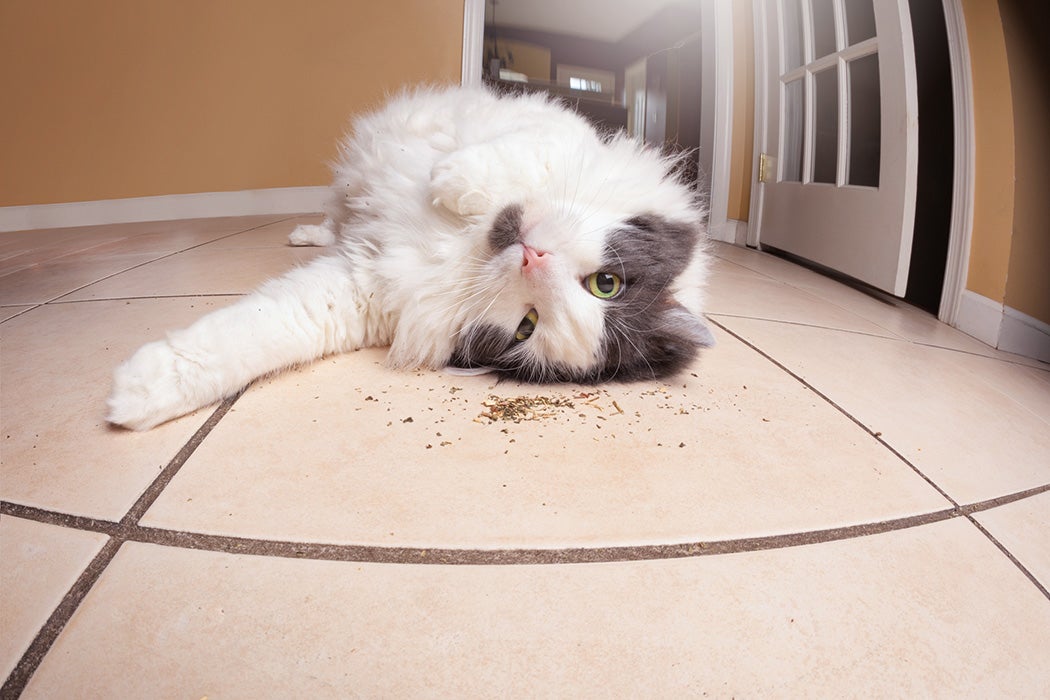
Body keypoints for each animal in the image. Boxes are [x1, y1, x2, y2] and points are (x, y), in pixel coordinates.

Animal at [106, 85, 713, 430]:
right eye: (606, 283)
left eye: (527, 327)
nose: (533, 257)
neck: (470, 243)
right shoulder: (557, 138)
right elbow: (520, 155)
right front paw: (452, 181)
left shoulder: (362, 289)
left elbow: (255, 336)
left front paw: (136, 394)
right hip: (349, 186)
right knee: (334, 215)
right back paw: (306, 233)